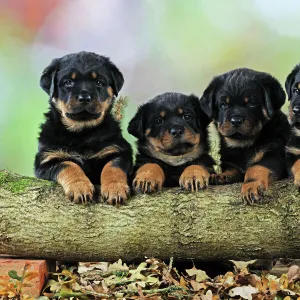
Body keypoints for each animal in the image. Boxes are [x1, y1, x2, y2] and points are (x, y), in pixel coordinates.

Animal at [33, 52, 131, 206]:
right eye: (68, 82)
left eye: (99, 82)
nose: (84, 97)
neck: (82, 133)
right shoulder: (47, 159)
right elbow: (69, 165)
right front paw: (80, 188)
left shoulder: (119, 150)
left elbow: (112, 167)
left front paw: (115, 189)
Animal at [200, 68, 290, 204]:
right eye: (223, 104)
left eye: (252, 103)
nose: (236, 120)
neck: (243, 146)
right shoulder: (230, 160)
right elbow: (232, 168)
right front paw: (221, 176)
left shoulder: (273, 154)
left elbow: (255, 167)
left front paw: (251, 187)